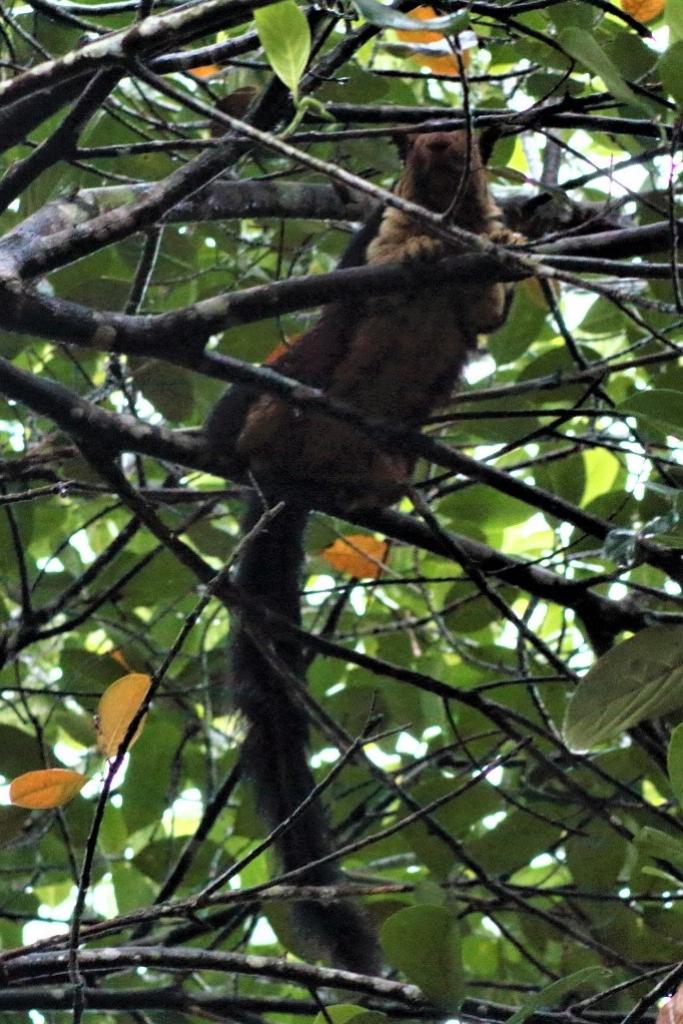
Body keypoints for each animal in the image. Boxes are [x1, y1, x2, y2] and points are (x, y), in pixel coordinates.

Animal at [205, 132, 520, 970]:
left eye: (465, 144)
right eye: (420, 149)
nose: (442, 154)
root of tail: (294, 484)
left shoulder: (479, 281)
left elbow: (484, 310)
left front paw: (507, 241)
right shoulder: (372, 237)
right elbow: (380, 260)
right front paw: (420, 246)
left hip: (388, 449)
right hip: (290, 372)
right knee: (264, 394)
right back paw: (251, 434)